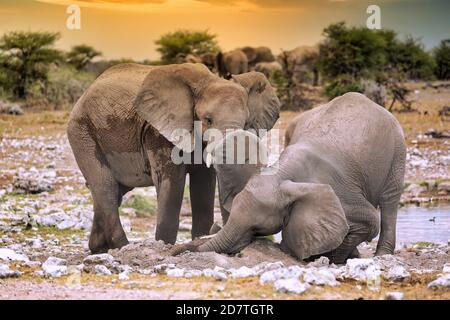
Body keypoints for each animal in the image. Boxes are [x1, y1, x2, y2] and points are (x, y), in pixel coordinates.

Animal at [67, 62, 282, 252]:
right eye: (208, 120)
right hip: (82, 132)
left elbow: (204, 184)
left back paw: (98, 249)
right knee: (106, 187)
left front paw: (199, 239)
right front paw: (163, 247)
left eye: (246, 122)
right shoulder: (158, 133)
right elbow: (173, 183)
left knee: (113, 192)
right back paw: (121, 247)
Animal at [171, 92, 406, 262]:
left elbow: (370, 222)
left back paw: (382, 255)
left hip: (397, 148)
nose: (176, 252)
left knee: (389, 201)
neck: (281, 175)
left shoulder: (345, 194)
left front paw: (330, 258)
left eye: (256, 228)